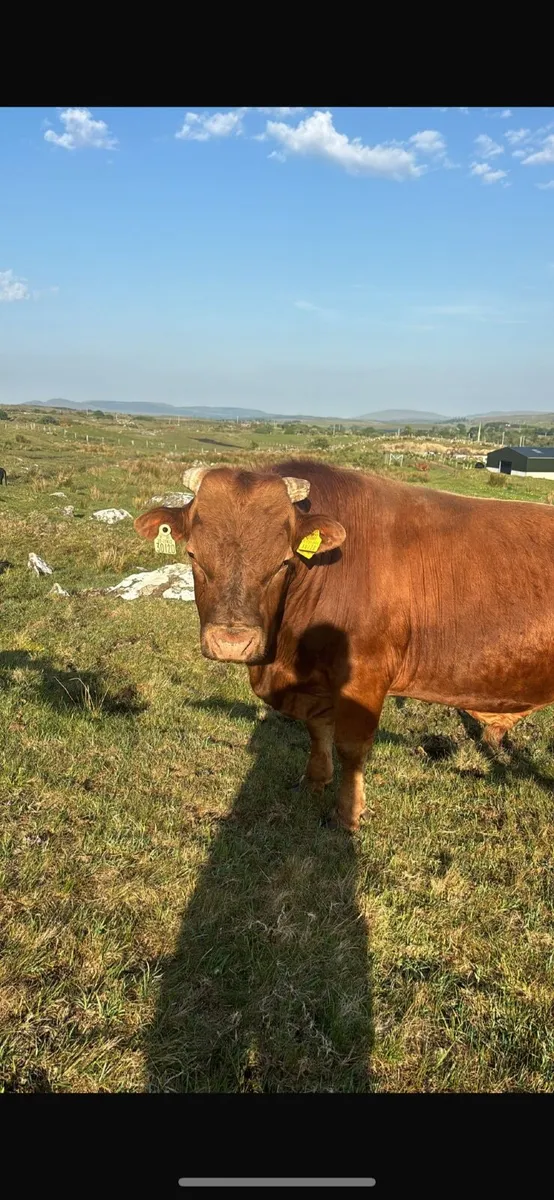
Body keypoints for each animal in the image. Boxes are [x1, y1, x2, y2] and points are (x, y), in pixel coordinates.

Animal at [134, 460, 554, 832]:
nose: (231, 642)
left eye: (283, 562)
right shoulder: (314, 680)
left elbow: (351, 746)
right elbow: (317, 730)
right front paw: (313, 782)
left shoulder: (365, 675)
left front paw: (348, 814)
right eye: (193, 554)